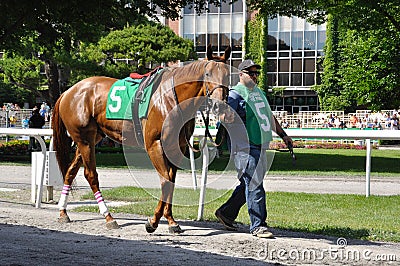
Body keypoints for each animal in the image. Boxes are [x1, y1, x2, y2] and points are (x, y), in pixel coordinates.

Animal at [52, 45, 231, 233]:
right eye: (208, 74)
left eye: (228, 74)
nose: (219, 106)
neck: (170, 98)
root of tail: (68, 91)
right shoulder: (154, 144)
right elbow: (165, 181)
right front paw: (153, 221)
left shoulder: (177, 147)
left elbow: (171, 181)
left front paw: (171, 220)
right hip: (84, 140)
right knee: (91, 174)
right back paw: (109, 217)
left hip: (91, 138)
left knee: (70, 171)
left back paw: (63, 212)